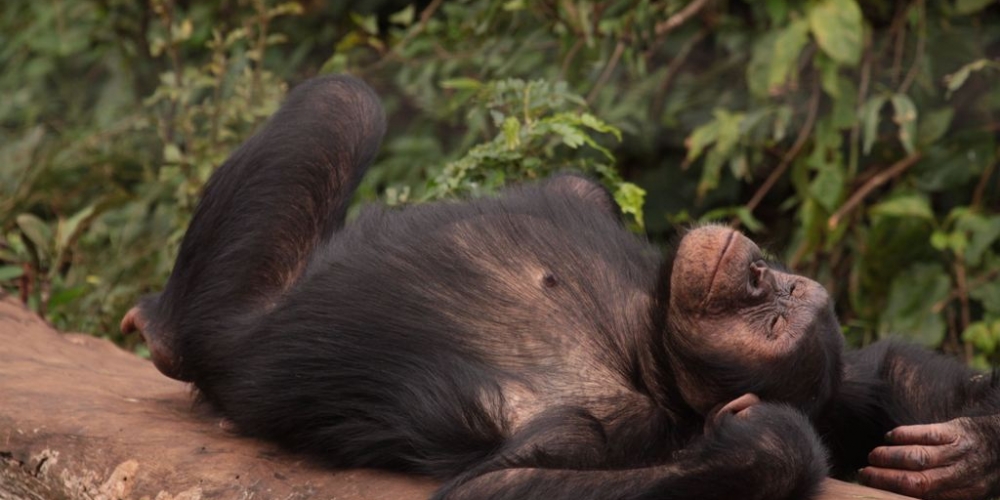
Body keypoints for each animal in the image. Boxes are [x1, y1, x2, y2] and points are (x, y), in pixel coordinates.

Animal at [125, 75, 1000, 500]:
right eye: (786, 291)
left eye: (776, 322)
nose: (762, 273)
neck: (645, 336)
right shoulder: (844, 388)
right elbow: (878, 376)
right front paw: (970, 449)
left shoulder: (609, 425)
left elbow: (502, 486)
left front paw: (762, 440)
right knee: (349, 100)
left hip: (232, 309)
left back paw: (161, 331)